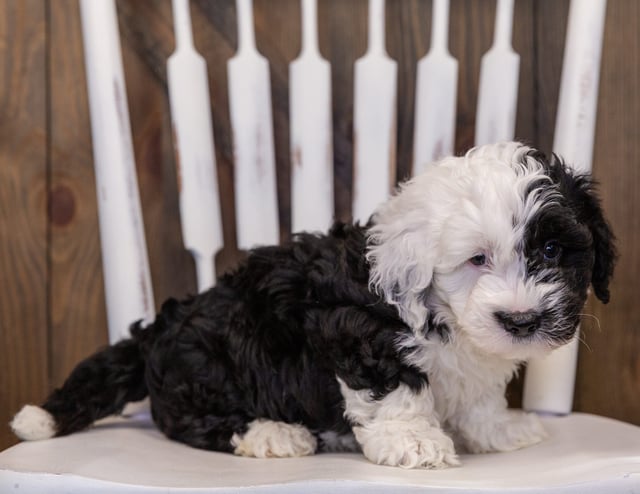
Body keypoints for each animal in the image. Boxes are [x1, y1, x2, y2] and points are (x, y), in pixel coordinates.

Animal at [11, 142, 616, 466]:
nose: (522, 320)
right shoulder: (355, 330)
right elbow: (396, 390)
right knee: (186, 419)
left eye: (553, 250)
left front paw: (499, 430)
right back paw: (274, 433)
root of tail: (161, 327)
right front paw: (415, 441)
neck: (444, 313)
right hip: (214, 360)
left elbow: (478, 397)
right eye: (477, 260)